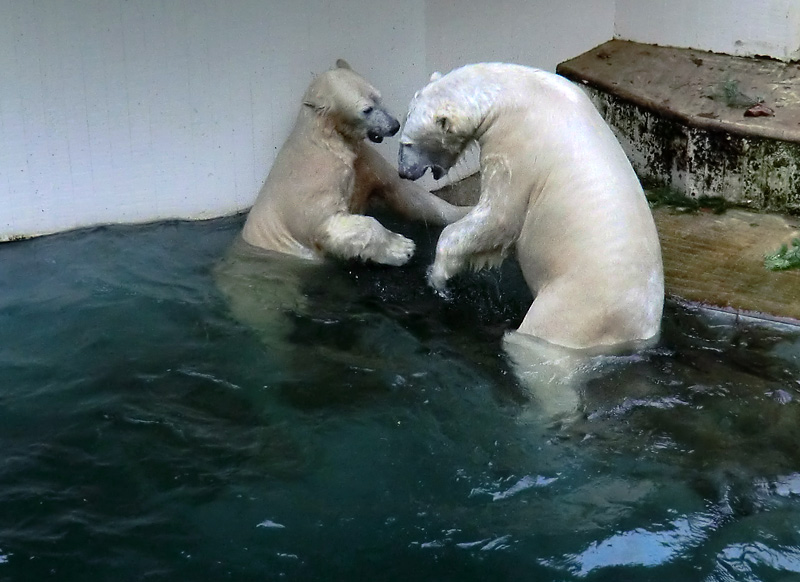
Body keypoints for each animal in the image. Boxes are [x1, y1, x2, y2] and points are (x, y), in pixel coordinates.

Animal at [241, 58, 472, 264]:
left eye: (379, 96)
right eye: (366, 109)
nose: (394, 125)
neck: (328, 144)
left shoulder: (363, 161)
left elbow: (404, 191)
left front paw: (464, 213)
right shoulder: (313, 184)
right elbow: (330, 223)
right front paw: (401, 247)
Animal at [396, 65, 664, 354]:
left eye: (406, 142)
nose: (403, 172)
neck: (513, 90)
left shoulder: (516, 145)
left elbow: (499, 218)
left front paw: (438, 276)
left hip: (574, 309)